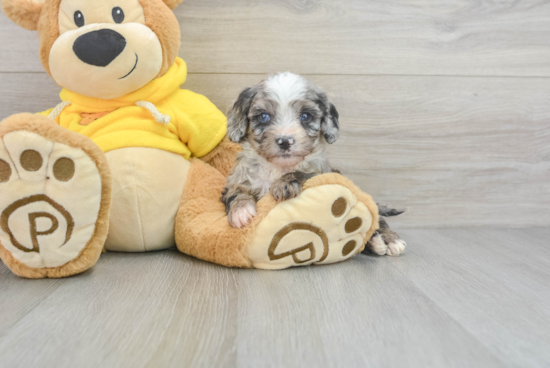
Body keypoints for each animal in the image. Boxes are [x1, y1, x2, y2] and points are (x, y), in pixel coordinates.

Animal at [222, 71, 338, 227]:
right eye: (263, 116)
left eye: (305, 116)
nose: (285, 141)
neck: (277, 167)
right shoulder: (235, 179)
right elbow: (234, 192)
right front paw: (241, 210)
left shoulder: (323, 173)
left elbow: (305, 173)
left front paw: (285, 184)